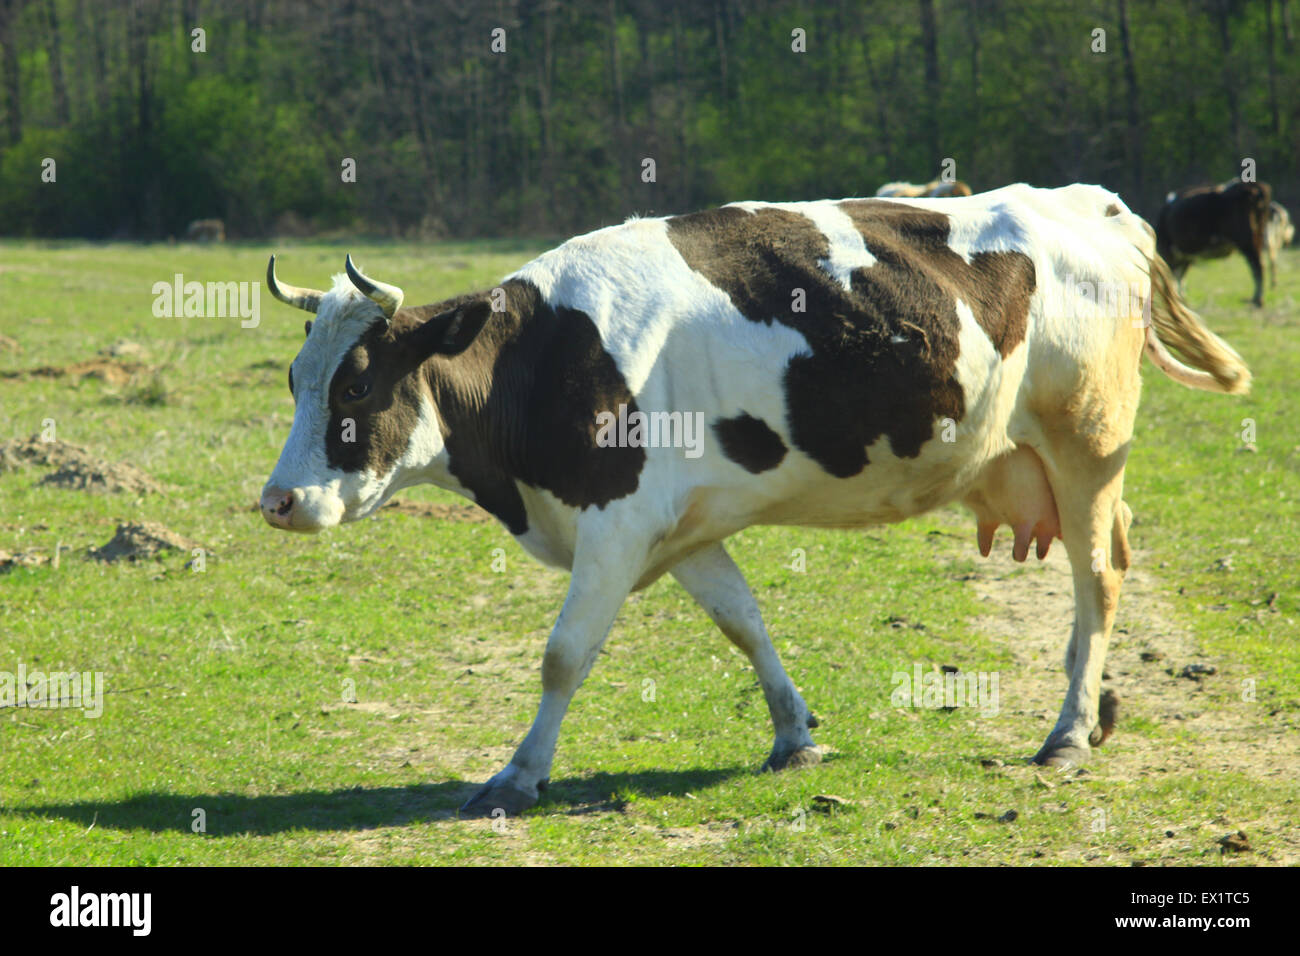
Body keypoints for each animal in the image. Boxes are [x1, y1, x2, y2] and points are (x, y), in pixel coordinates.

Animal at [260, 183, 1250, 817]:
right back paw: (1096, 715)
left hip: (1087, 445)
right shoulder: (683, 527)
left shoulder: (614, 528)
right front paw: (794, 734)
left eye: (355, 386)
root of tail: (1091, 202)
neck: (543, 361)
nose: (278, 501)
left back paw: (1070, 731)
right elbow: (745, 623)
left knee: (1098, 581)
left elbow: (562, 655)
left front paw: (518, 774)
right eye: (295, 380)